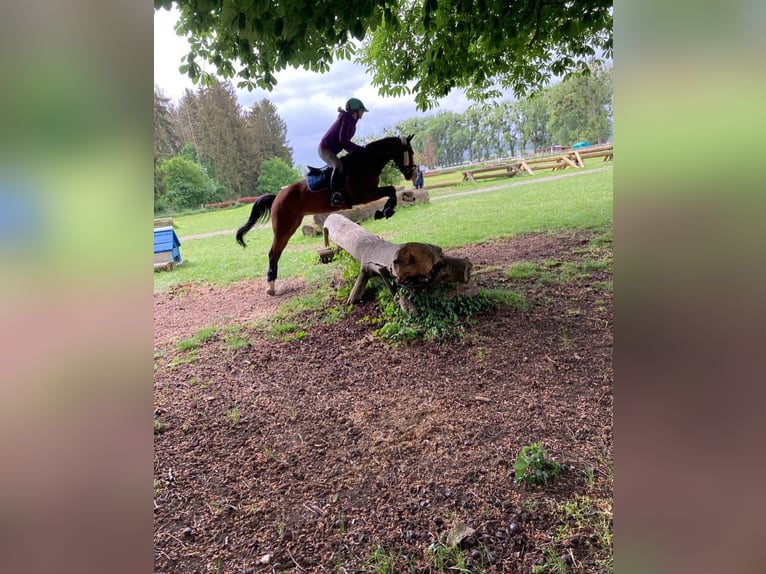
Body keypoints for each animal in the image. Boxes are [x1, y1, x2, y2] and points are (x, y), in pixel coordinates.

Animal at [238, 136, 420, 296]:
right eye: (409, 152)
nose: (410, 174)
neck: (366, 162)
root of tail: (277, 197)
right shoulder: (365, 195)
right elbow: (391, 189)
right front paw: (385, 211)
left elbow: (391, 190)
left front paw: (385, 211)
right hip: (283, 226)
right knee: (273, 253)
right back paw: (270, 287)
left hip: (291, 226)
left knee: (277, 253)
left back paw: (272, 285)